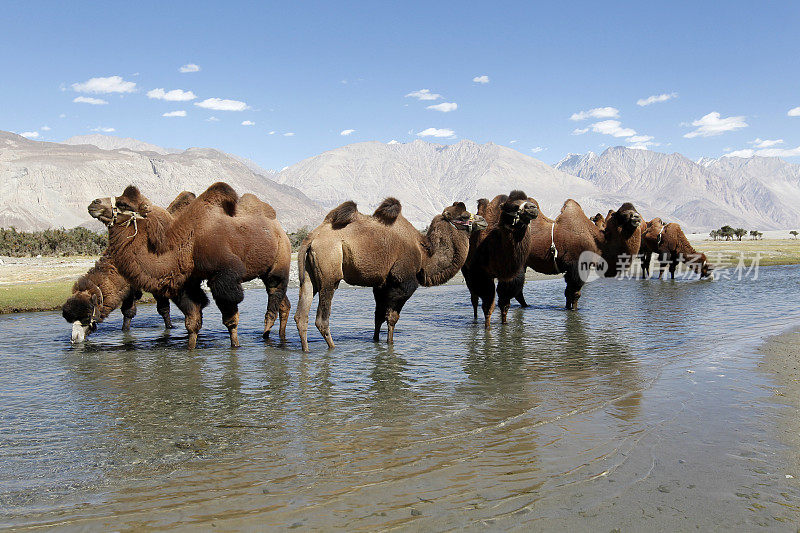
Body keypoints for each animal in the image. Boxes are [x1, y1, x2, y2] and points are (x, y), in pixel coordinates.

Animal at [63, 190, 198, 340]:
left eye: (87, 315)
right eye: (69, 318)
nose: (75, 338)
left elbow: (163, 310)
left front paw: (170, 328)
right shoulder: (129, 288)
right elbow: (128, 313)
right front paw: (125, 332)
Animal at [89, 183, 294, 350]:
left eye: (123, 204)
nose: (94, 203)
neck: (187, 244)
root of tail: (278, 228)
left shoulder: (223, 277)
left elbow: (231, 321)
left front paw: (235, 346)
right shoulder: (186, 283)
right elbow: (193, 322)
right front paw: (191, 350)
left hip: (280, 258)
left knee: (274, 292)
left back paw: (268, 336)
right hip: (265, 270)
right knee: (283, 303)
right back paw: (278, 337)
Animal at [292, 197, 484, 352]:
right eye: (465, 216)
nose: (482, 220)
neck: (424, 254)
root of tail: (311, 238)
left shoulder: (381, 285)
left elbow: (378, 317)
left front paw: (376, 343)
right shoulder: (402, 283)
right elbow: (392, 318)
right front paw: (390, 344)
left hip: (309, 276)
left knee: (301, 314)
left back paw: (306, 350)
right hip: (329, 272)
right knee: (322, 318)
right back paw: (332, 348)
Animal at [460, 189, 540, 326]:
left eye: (527, 200)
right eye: (513, 206)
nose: (533, 208)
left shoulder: (510, 277)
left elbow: (504, 305)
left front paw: (504, 325)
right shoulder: (481, 274)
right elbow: (487, 307)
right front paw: (487, 328)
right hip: (467, 269)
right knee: (474, 298)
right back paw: (475, 321)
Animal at [494, 200, 644, 316]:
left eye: (635, 210)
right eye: (624, 214)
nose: (636, 218)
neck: (598, 242)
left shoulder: (570, 269)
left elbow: (568, 292)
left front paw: (567, 308)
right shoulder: (578, 265)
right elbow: (575, 293)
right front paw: (574, 311)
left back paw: (526, 306)